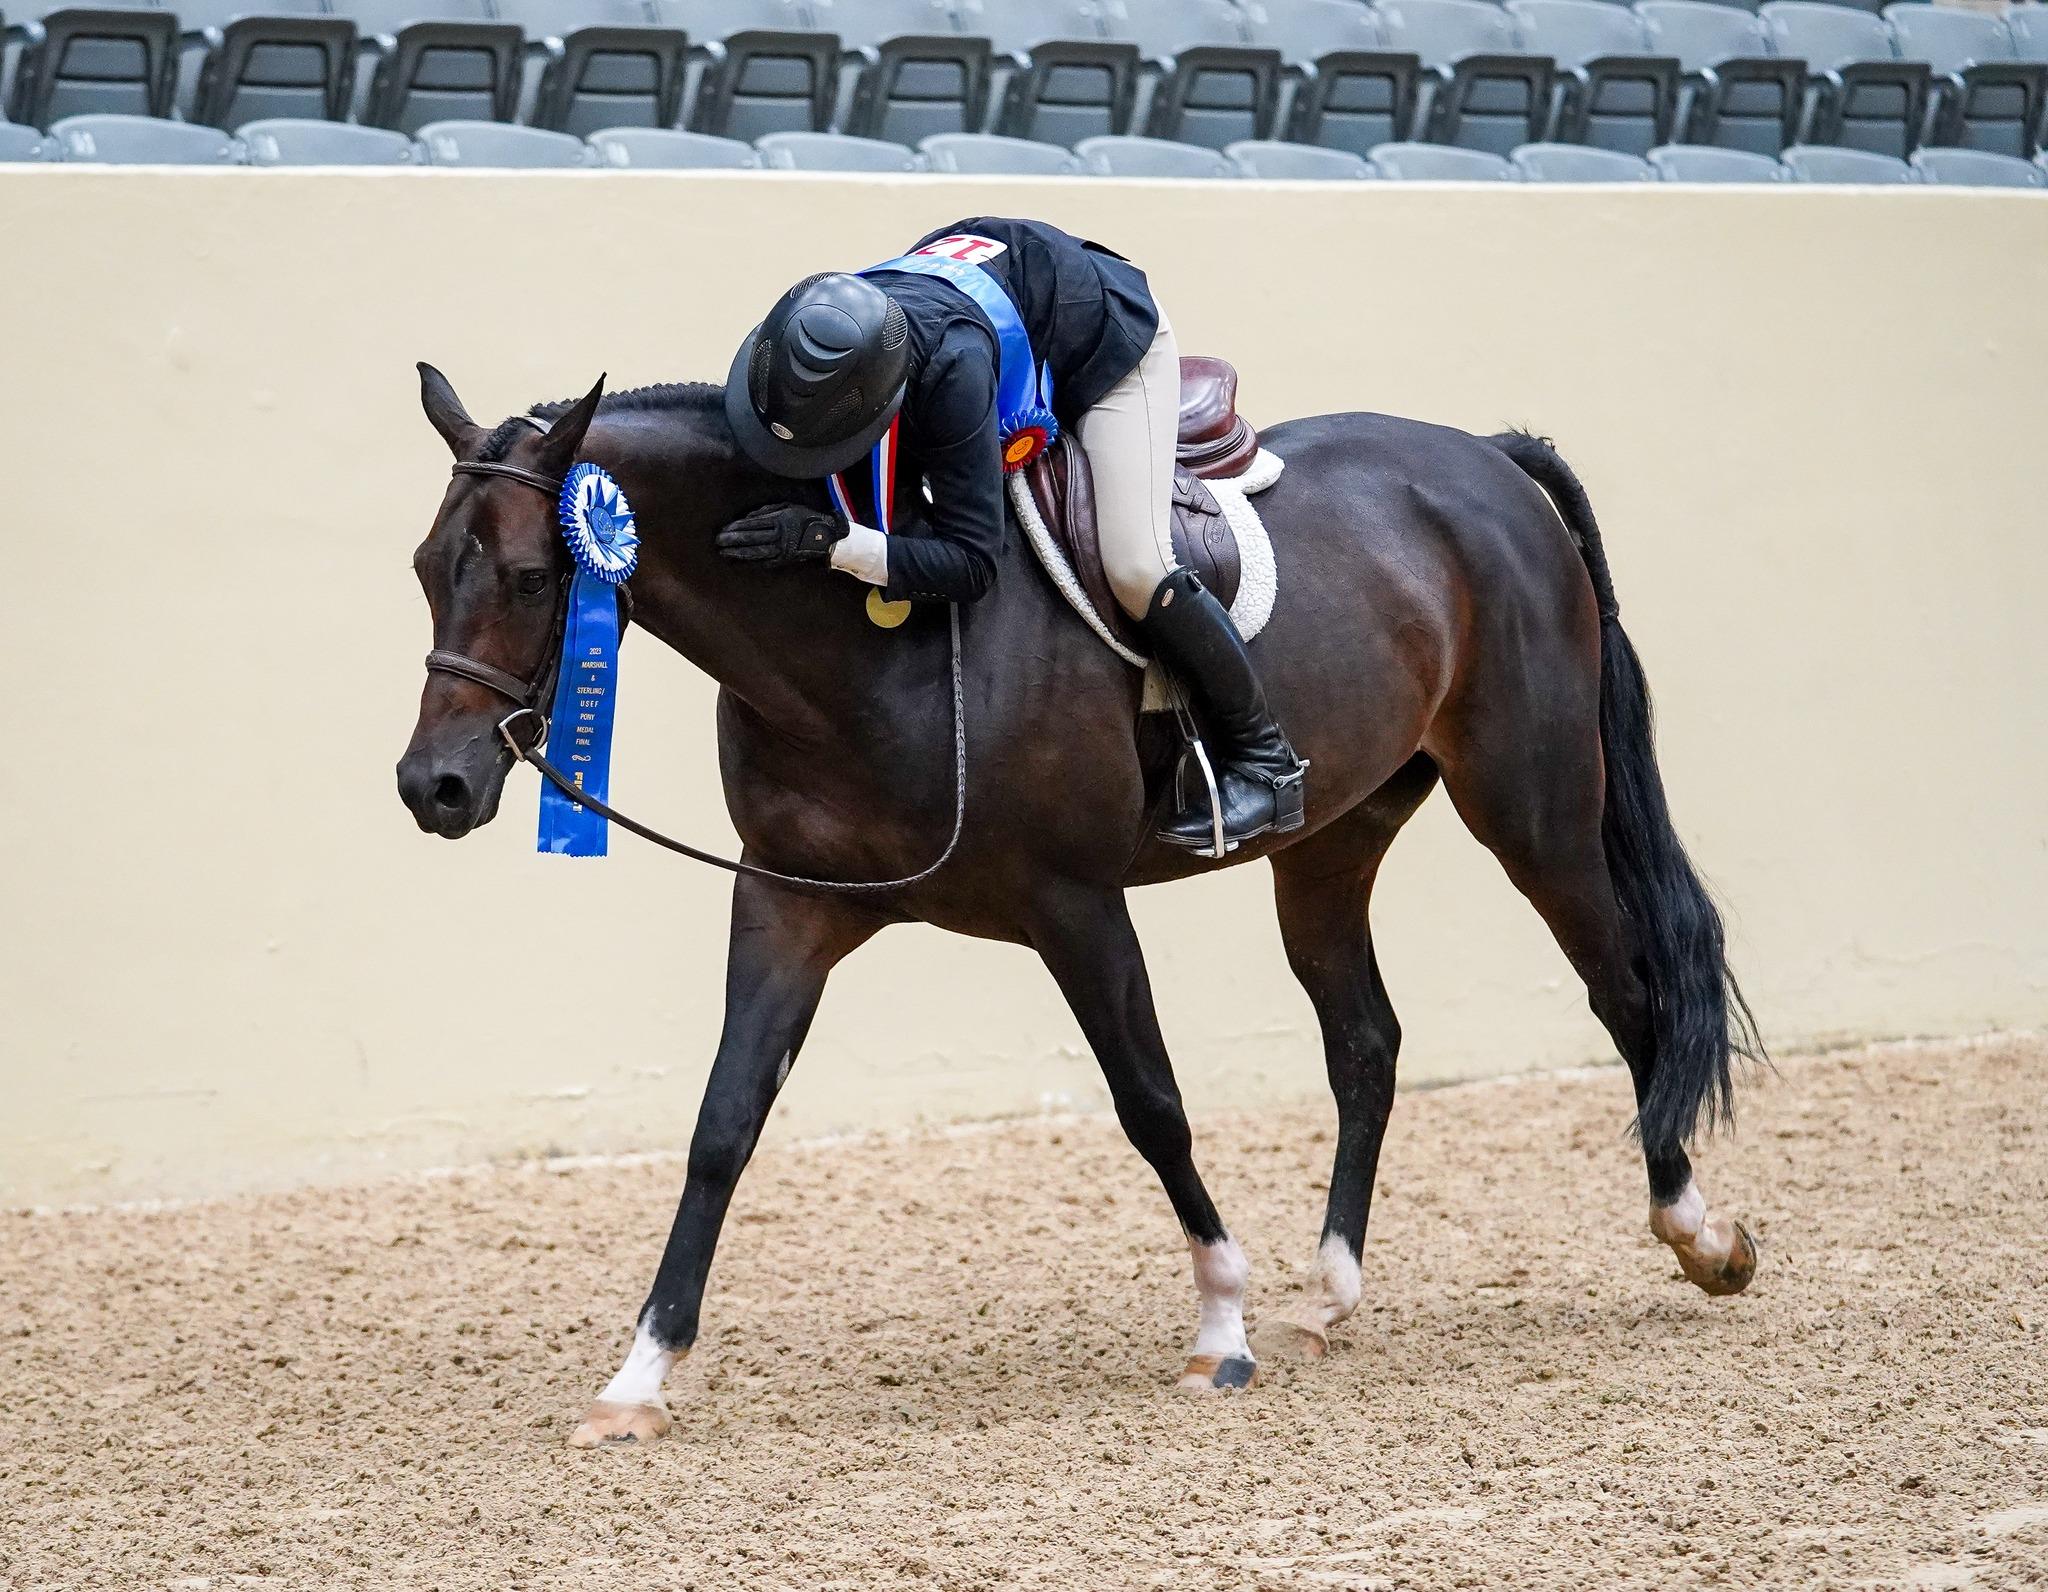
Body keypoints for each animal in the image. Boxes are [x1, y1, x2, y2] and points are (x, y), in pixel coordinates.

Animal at [396, 364, 1762, 1447]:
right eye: (423, 570)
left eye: (532, 575)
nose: (434, 786)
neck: (869, 642)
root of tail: (1485, 459)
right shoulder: (785, 902)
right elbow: (722, 1123)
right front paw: (637, 1377)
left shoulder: (1074, 903)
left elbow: (1150, 1104)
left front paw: (1220, 1325)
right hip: (1332, 843)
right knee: (1365, 1040)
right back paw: (1329, 1291)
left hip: (1534, 809)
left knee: (1624, 992)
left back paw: (1697, 1235)